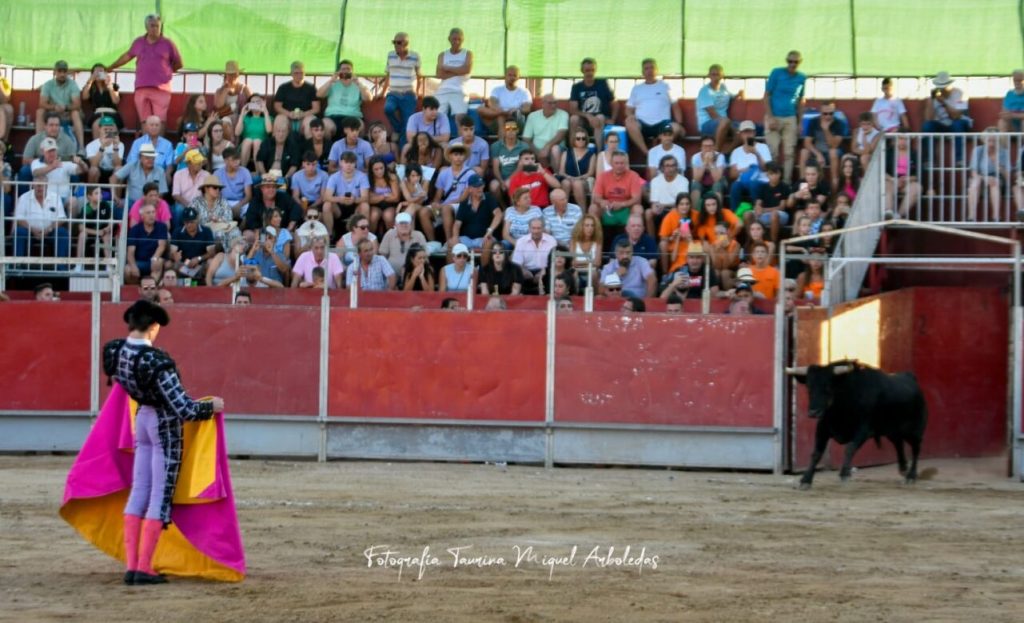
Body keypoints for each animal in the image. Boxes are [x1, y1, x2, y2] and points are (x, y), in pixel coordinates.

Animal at [782, 362, 929, 489]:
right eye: (809, 387)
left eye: (828, 386)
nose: (813, 412)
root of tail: (910, 377)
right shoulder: (822, 428)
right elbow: (816, 453)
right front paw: (806, 480)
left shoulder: (863, 430)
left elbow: (850, 448)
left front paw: (844, 473)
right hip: (892, 431)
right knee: (898, 444)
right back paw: (903, 469)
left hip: (915, 431)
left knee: (916, 449)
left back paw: (911, 476)